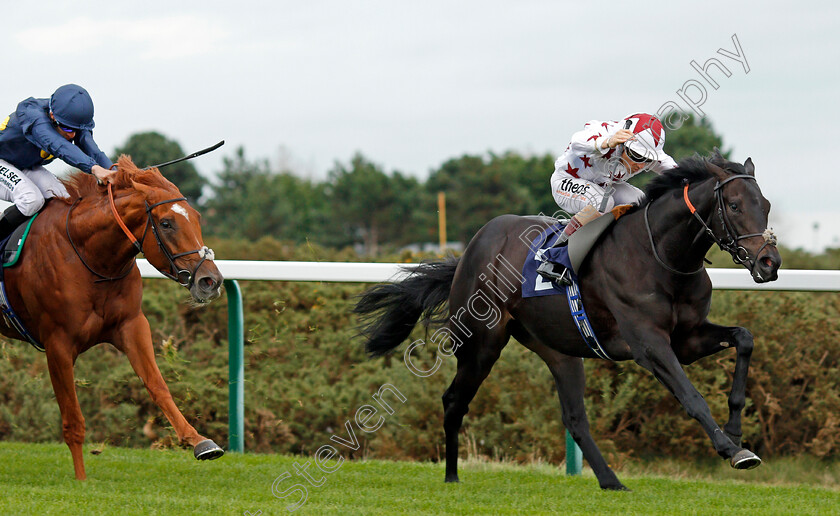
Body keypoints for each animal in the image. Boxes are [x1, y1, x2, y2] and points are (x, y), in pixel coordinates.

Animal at [0, 154, 225, 480]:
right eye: (166, 223)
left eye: (196, 217)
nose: (211, 281)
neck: (90, 257)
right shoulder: (58, 344)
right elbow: (73, 419)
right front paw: (81, 480)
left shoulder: (131, 325)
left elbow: (158, 386)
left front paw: (200, 441)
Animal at [354, 152, 780, 488]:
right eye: (735, 206)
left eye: (766, 205)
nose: (769, 263)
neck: (661, 255)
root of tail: (472, 248)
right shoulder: (649, 345)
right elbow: (692, 397)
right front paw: (732, 449)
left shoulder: (686, 340)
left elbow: (744, 338)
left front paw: (736, 429)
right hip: (481, 343)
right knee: (454, 400)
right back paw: (452, 476)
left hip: (559, 350)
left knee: (574, 418)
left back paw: (611, 482)